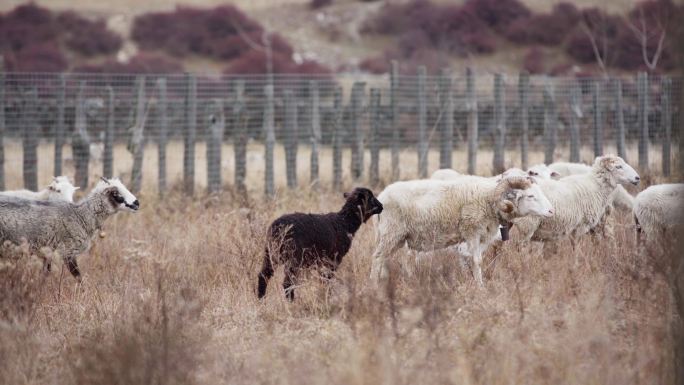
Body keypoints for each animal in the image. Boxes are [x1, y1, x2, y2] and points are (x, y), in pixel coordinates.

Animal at [0, 176, 139, 280]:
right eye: (115, 193)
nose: (137, 203)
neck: (81, 216)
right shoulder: (68, 251)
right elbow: (78, 278)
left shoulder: (48, 253)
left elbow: (45, 274)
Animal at [368, 176, 556, 284]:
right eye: (530, 196)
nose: (551, 211)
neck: (489, 200)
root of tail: (382, 196)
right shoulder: (471, 231)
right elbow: (477, 261)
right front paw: (480, 288)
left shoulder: (478, 238)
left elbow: (470, 260)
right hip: (391, 233)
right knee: (376, 258)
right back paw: (374, 288)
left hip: (398, 238)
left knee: (389, 260)